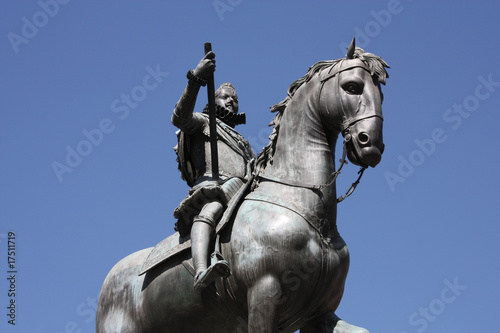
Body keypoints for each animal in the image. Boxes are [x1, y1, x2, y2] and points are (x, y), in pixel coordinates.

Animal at [95, 39, 388, 332]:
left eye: (381, 95)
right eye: (352, 86)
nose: (370, 144)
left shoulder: (320, 314)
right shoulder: (264, 295)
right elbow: (182, 118)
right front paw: (202, 68)